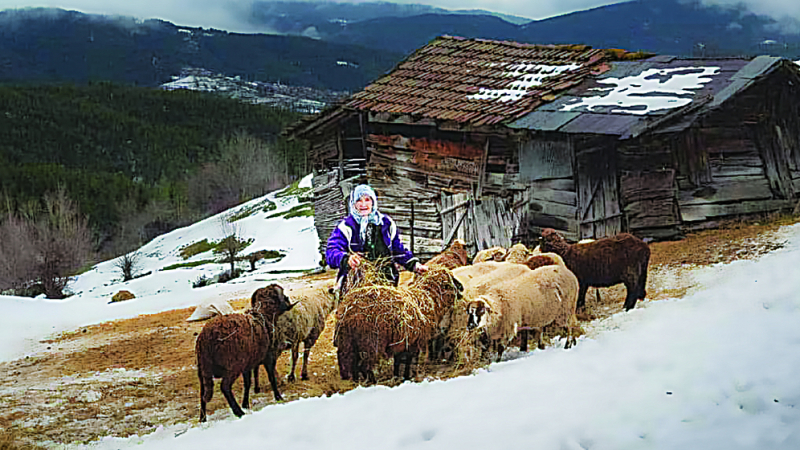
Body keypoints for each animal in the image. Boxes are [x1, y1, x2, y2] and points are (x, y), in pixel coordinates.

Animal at [195, 284, 296, 422]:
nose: (288, 300)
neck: (264, 315)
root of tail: (206, 339)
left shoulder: (247, 365)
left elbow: (247, 384)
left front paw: (245, 404)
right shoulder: (268, 358)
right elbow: (272, 378)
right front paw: (278, 397)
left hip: (203, 369)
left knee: (203, 393)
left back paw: (203, 418)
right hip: (232, 366)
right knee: (224, 387)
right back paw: (238, 412)